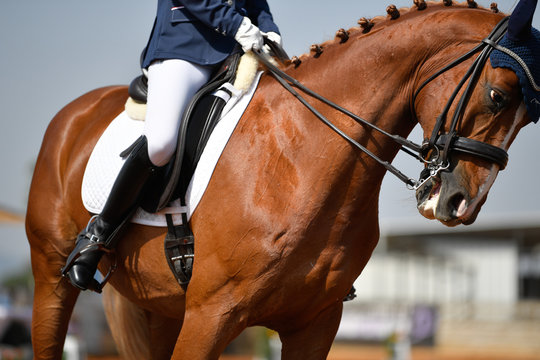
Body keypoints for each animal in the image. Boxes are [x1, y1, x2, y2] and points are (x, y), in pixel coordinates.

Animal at [24, 1, 536, 358]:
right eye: (497, 95)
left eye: (531, 118)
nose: (461, 204)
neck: (299, 156)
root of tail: (74, 114)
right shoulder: (210, 315)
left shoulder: (315, 323)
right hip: (52, 277)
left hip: (159, 308)